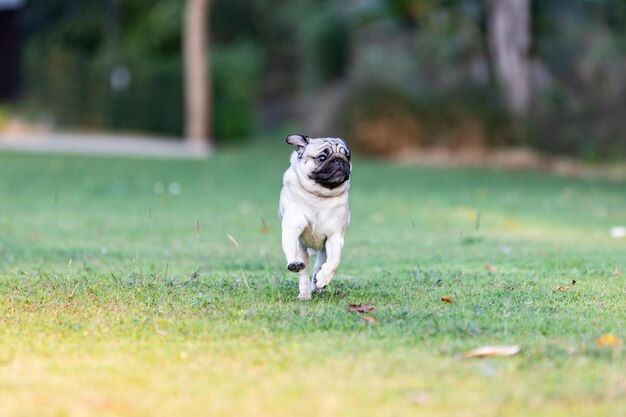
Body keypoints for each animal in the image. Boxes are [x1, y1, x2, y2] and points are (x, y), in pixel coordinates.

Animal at [280, 133, 352, 300]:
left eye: (348, 156)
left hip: (324, 251)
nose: (340, 160)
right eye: (322, 157)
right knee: (303, 272)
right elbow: (291, 249)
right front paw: (294, 262)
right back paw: (305, 293)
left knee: (319, 265)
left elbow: (334, 261)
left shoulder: (335, 237)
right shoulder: (292, 228)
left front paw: (323, 279)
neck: (320, 195)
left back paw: (318, 282)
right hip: (303, 249)